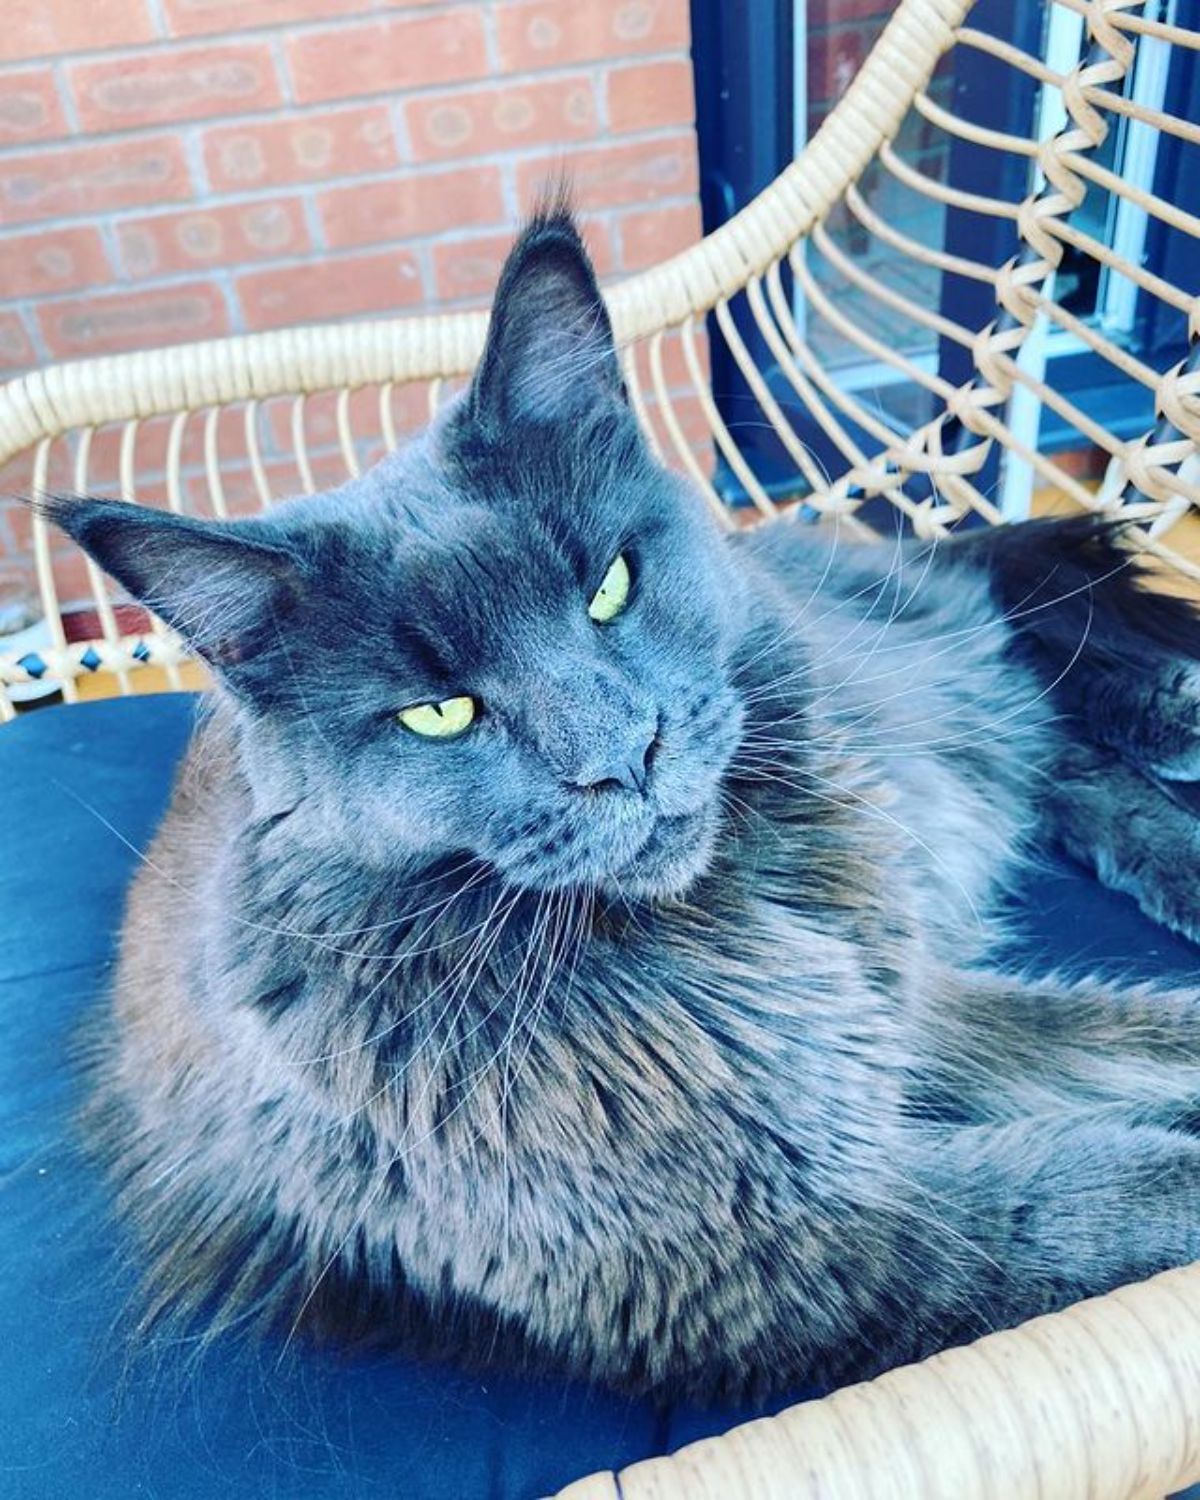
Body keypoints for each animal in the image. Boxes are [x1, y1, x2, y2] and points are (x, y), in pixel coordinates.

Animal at [49, 205, 1200, 1398]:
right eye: (439, 714)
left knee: (1002, 630)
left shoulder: (902, 1019)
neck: (729, 919)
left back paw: (1171, 714)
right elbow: (1124, 1172)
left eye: (609, 587)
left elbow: (1144, 1038)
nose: (624, 756)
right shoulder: (811, 1235)